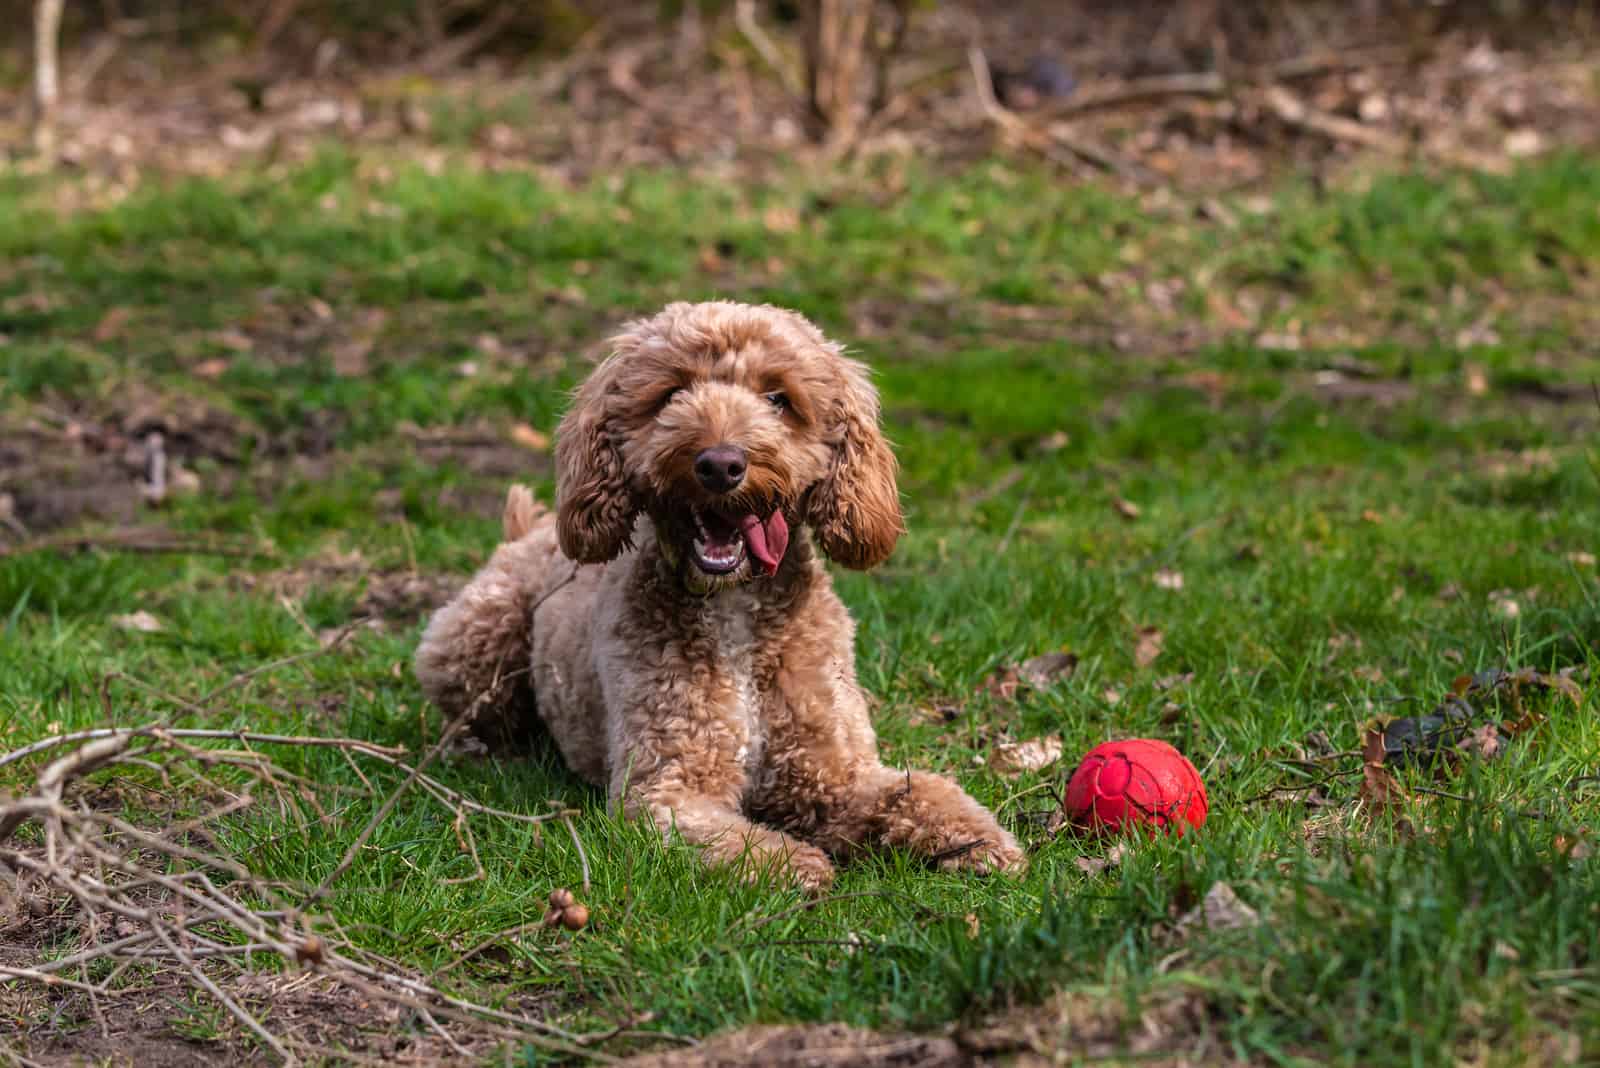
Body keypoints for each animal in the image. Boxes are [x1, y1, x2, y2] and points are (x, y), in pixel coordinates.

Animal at [412, 302, 1024, 895]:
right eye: (672, 393)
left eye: (779, 398)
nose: (720, 464)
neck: (736, 612)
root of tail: (527, 532)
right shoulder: (668, 788)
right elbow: (738, 839)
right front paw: (796, 864)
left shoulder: (833, 772)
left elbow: (919, 792)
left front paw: (980, 841)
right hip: (473, 643)